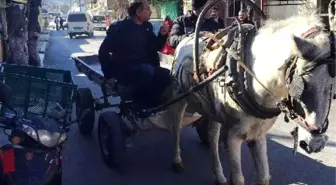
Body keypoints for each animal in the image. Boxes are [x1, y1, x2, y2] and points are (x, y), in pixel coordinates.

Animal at [159, 13, 334, 185]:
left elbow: (264, 177)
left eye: (332, 87)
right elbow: (238, 179)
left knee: (212, 135)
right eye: (302, 85)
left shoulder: (259, 134)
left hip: (212, 110)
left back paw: (219, 175)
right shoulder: (233, 136)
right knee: (177, 126)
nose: (315, 143)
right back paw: (177, 160)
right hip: (179, 99)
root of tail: (185, 40)